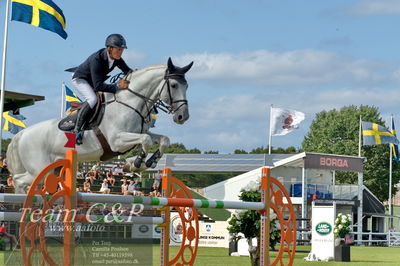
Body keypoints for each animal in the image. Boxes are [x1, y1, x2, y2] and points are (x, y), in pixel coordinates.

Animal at [6, 58, 194, 192]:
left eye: (187, 86)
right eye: (174, 85)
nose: (182, 116)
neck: (131, 102)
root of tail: (21, 135)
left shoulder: (138, 133)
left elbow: (163, 140)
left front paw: (148, 162)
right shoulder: (117, 140)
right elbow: (146, 140)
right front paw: (136, 163)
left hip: (51, 168)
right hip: (38, 168)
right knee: (19, 180)